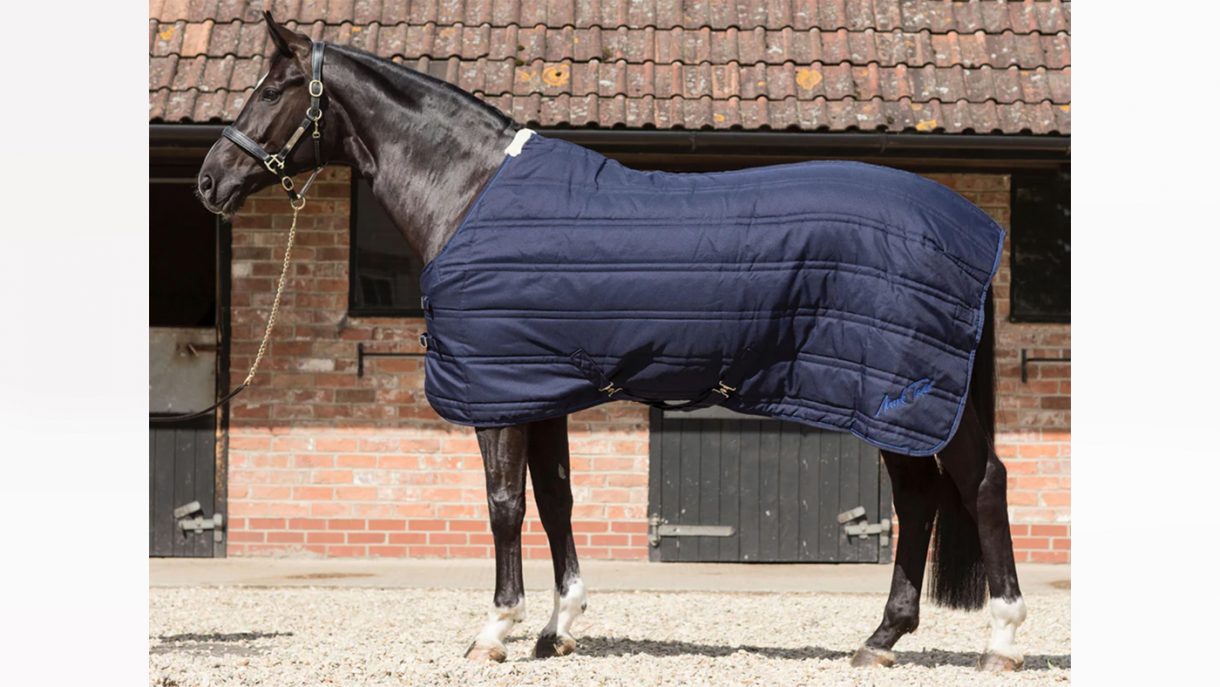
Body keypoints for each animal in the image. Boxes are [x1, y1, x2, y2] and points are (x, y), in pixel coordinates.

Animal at [195, 14, 1027, 672]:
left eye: (268, 91)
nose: (209, 181)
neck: (470, 192)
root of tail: (968, 228)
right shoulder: (540, 388)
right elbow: (556, 498)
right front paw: (558, 626)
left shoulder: (499, 392)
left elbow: (504, 504)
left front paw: (495, 629)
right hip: (885, 396)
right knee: (918, 501)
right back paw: (880, 638)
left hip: (909, 392)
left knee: (981, 483)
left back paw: (1005, 640)